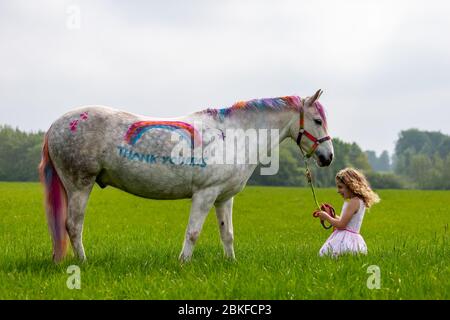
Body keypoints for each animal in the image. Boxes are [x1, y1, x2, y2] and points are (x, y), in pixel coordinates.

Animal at [38, 89, 332, 262]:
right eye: (318, 121)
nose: (327, 157)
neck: (234, 135)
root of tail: (55, 125)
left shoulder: (224, 198)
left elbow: (227, 234)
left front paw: (231, 263)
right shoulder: (205, 194)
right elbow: (193, 232)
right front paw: (183, 264)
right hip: (79, 185)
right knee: (73, 226)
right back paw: (83, 263)